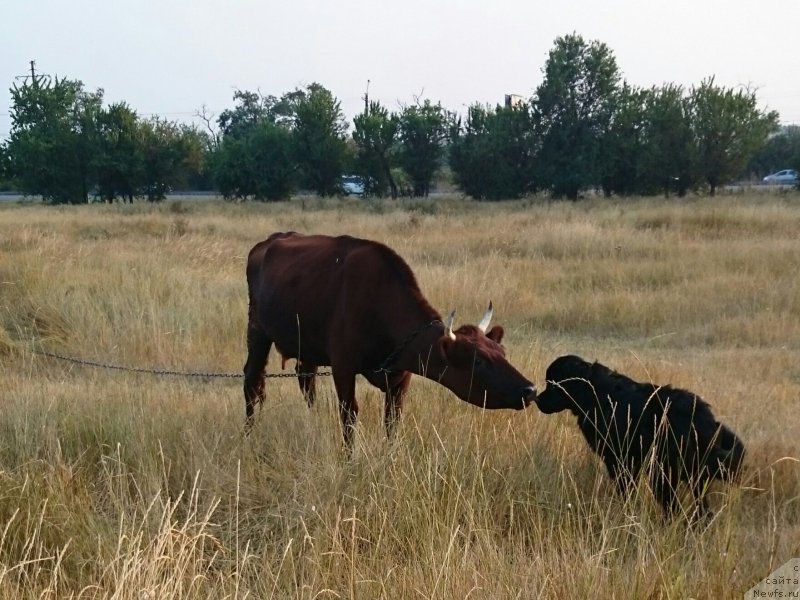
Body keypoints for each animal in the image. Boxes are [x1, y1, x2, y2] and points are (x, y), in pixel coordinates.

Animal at [241, 232, 536, 448]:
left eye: (502, 352)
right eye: (479, 361)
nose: (530, 389)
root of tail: (268, 242)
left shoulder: (401, 376)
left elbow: (392, 421)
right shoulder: (343, 367)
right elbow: (349, 416)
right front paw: (350, 460)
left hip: (306, 348)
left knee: (306, 381)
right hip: (257, 330)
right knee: (252, 382)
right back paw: (248, 435)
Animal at [536, 354, 748, 516]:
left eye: (552, 385)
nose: (537, 399)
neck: (593, 393)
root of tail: (708, 421)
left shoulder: (618, 461)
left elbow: (625, 491)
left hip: (664, 472)